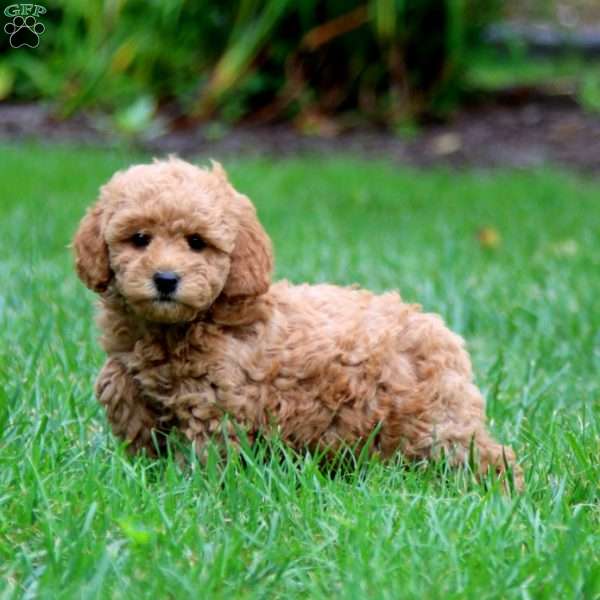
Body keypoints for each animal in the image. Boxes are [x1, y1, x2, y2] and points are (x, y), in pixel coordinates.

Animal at [72, 158, 524, 488]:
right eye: (139, 238)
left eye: (197, 243)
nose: (165, 279)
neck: (174, 329)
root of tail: (439, 330)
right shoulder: (132, 369)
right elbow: (119, 388)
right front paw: (143, 467)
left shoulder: (216, 401)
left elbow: (208, 451)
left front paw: (192, 489)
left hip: (436, 422)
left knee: (481, 454)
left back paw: (501, 491)